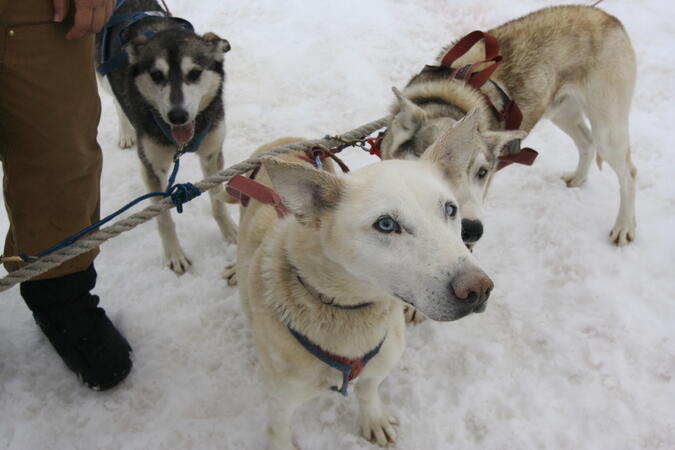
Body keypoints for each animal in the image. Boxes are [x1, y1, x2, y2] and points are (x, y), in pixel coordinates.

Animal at [95, 0, 238, 274]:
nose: (177, 115)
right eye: (156, 75)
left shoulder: (212, 152)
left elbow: (217, 200)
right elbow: (163, 218)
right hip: (104, 77)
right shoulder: (153, 168)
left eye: (195, 73)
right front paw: (174, 254)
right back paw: (126, 133)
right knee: (117, 102)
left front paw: (231, 233)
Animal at [235, 135, 494, 448]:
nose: (478, 288)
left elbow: (368, 392)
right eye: (386, 224)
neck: (347, 312)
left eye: (450, 209)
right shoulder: (281, 401)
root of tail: (284, 140)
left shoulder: (378, 368)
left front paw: (374, 419)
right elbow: (279, 432)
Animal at [382, 4, 636, 246]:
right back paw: (578, 178)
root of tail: (608, 16)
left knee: (629, 174)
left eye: (483, 172)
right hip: (563, 114)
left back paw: (625, 226)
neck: (450, 105)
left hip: (608, 134)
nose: (471, 230)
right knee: (587, 143)